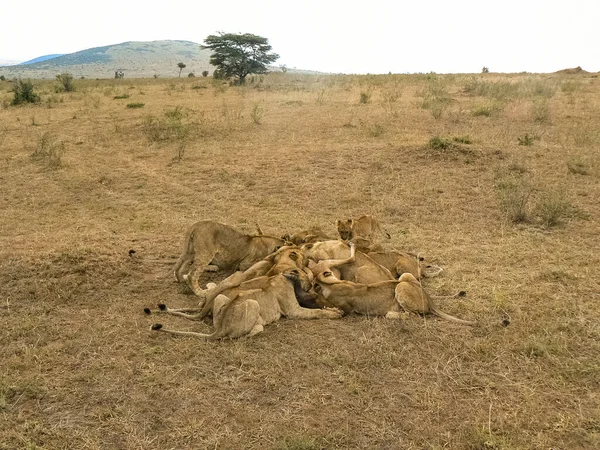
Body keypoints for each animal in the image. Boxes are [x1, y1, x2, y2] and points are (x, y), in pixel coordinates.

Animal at [149, 268, 342, 340]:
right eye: (309, 278)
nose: (312, 286)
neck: (283, 276)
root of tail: (221, 328)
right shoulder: (294, 310)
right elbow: (317, 312)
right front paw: (336, 313)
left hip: (222, 298)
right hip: (252, 302)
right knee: (243, 334)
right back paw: (257, 328)